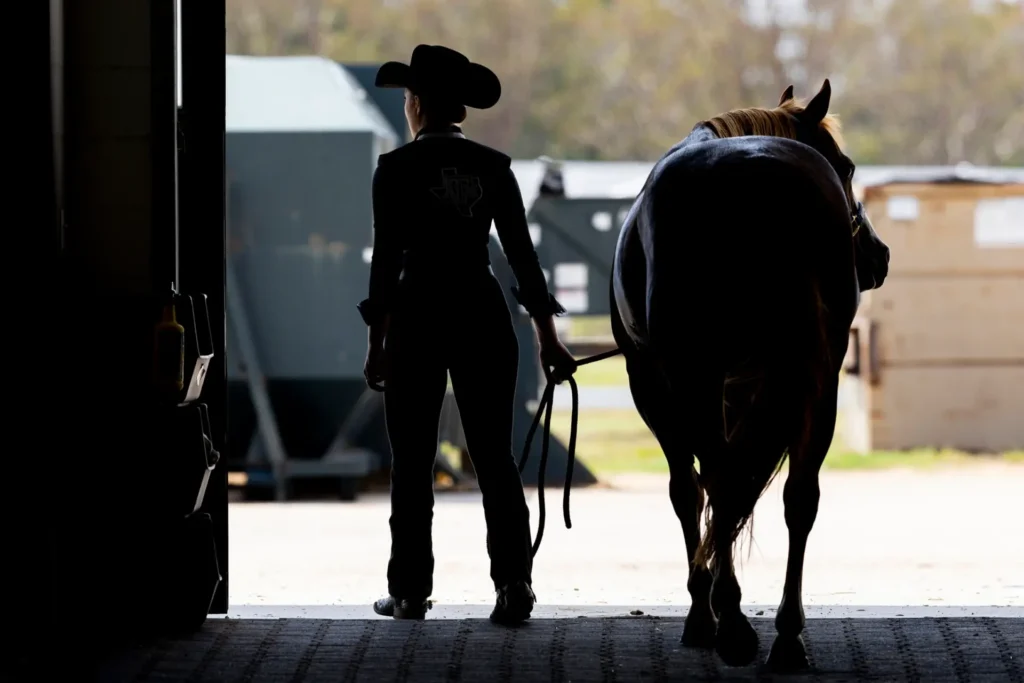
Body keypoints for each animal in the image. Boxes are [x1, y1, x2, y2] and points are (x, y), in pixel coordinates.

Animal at [609, 80, 890, 671]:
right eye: (848, 166)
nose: (879, 255)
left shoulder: (657, 384)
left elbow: (691, 491)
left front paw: (704, 613)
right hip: (815, 373)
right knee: (797, 495)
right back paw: (785, 638)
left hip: (699, 374)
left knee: (718, 481)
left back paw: (736, 626)